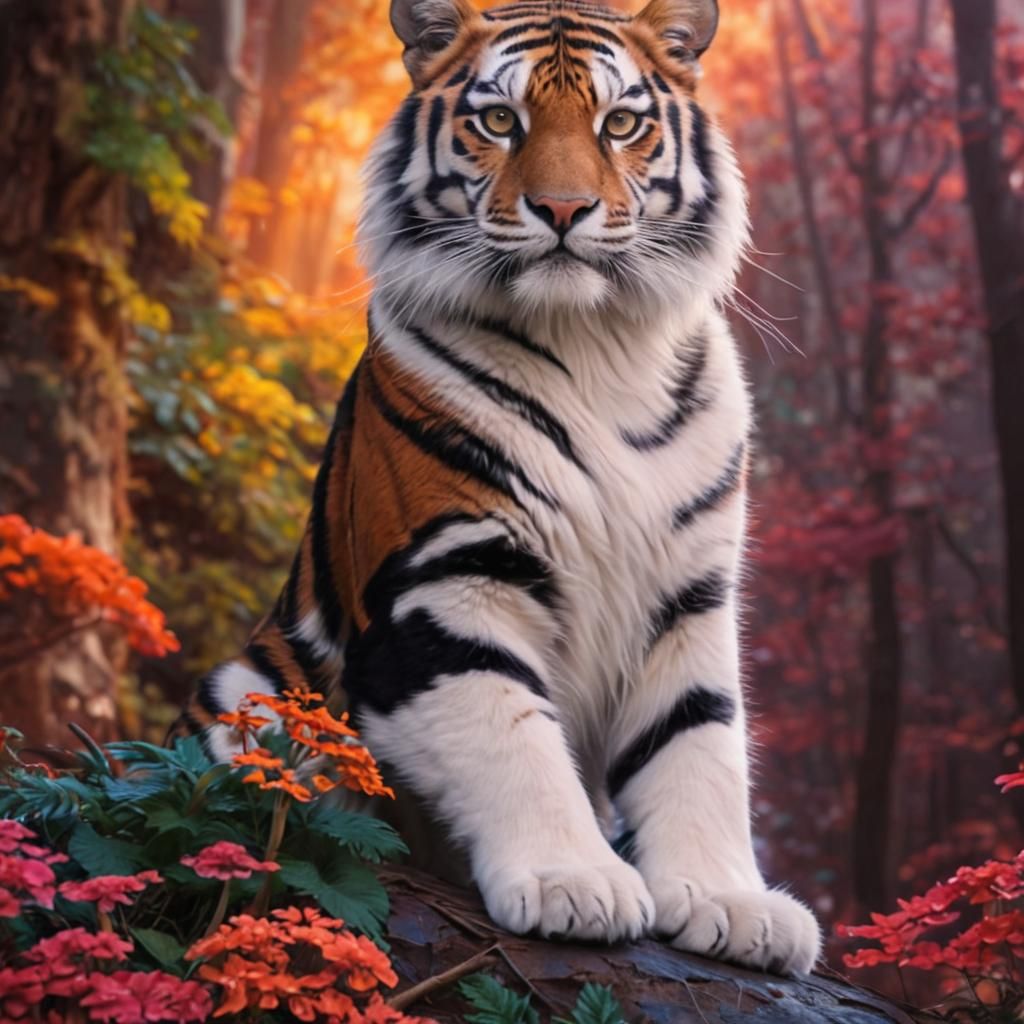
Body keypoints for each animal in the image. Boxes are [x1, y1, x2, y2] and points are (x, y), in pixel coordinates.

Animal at [182, 0, 822, 974]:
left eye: (619, 124)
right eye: (498, 121)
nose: (562, 209)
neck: (599, 346)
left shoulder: (690, 593)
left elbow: (698, 742)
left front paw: (729, 903)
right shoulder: (444, 583)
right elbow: (513, 736)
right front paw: (576, 885)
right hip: (250, 689)